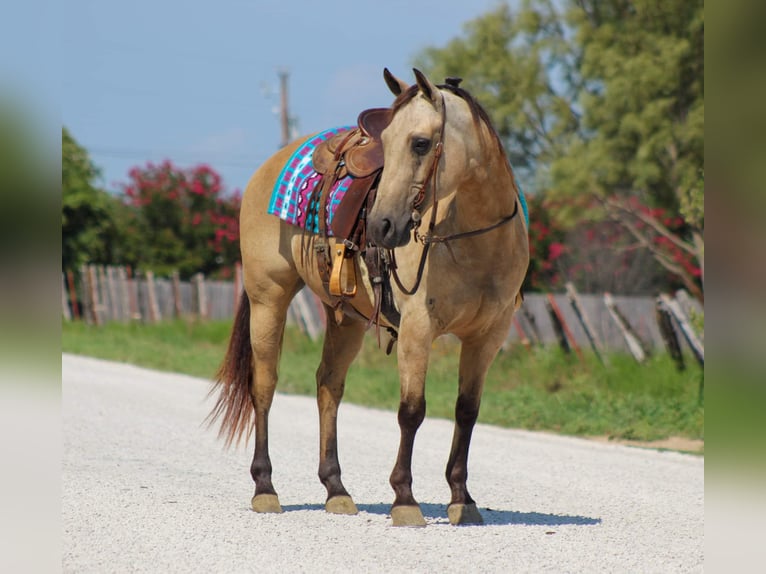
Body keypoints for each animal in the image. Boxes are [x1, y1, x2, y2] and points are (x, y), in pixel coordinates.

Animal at [210, 67, 536, 528]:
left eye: (420, 143)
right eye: (389, 140)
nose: (382, 225)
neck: (473, 238)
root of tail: (270, 165)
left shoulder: (487, 337)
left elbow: (467, 410)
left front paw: (462, 499)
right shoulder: (418, 329)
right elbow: (412, 410)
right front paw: (405, 499)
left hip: (345, 317)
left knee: (328, 386)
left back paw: (336, 490)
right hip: (268, 300)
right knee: (264, 386)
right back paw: (265, 488)